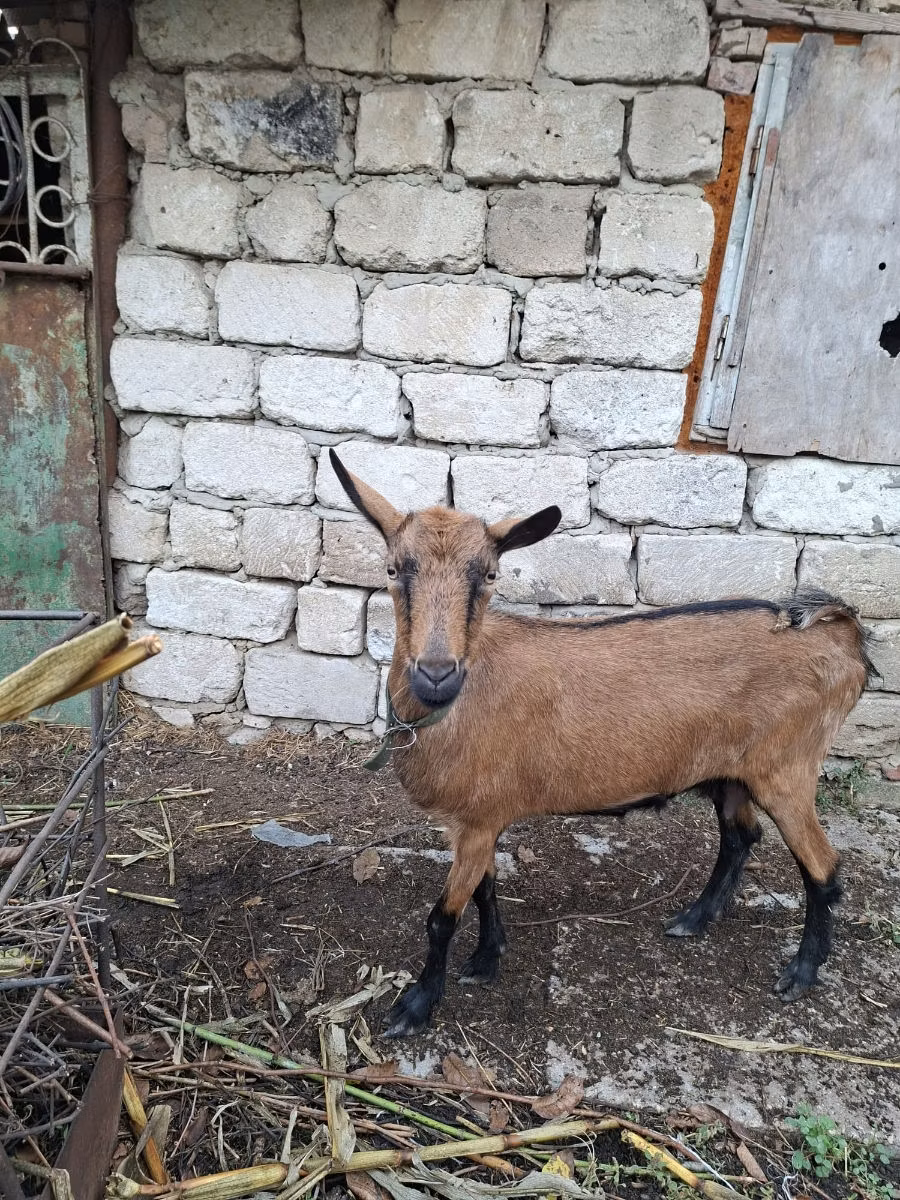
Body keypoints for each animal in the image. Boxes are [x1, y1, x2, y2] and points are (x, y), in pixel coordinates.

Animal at [329, 450, 872, 1037]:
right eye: (393, 569)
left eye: (490, 574)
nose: (435, 675)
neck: (456, 706)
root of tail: (843, 635)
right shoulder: (478, 819)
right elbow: (485, 890)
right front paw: (487, 959)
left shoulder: (476, 819)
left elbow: (442, 918)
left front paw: (415, 1007)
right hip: (730, 769)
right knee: (740, 837)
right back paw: (693, 919)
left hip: (788, 768)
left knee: (823, 867)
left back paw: (801, 972)